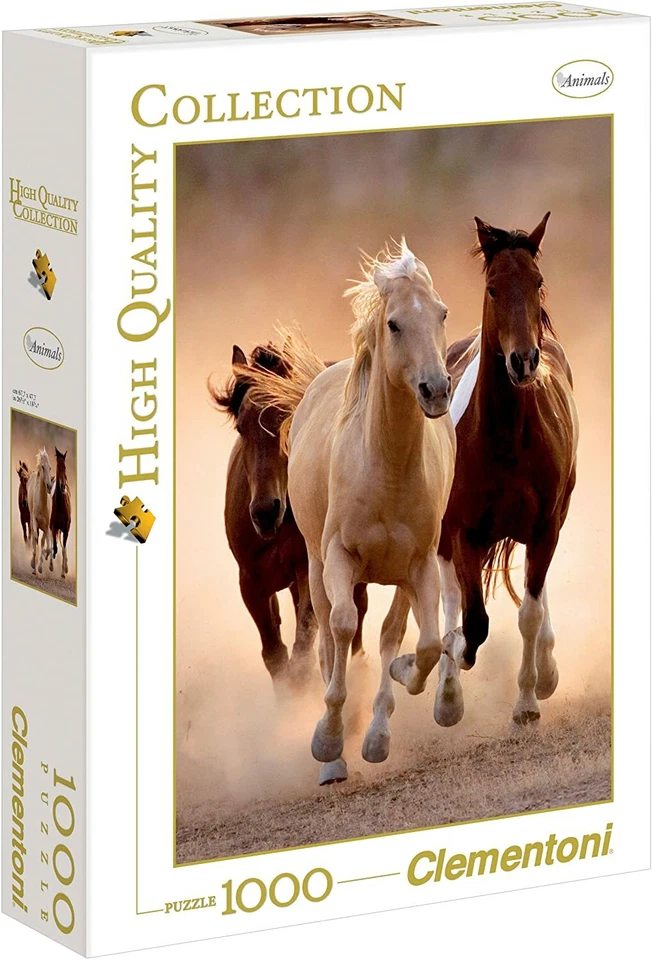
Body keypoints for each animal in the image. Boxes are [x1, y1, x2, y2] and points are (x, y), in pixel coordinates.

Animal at [211, 341, 368, 689]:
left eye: (289, 419)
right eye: (241, 427)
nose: (265, 512)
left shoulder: (307, 569)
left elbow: (302, 650)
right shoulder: (251, 581)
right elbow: (275, 655)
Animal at [247, 242, 455, 784]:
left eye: (442, 313)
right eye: (395, 324)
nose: (436, 390)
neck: (386, 467)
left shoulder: (420, 565)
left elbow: (422, 643)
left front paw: (390, 710)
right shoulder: (338, 559)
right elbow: (341, 629)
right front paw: (328, 740)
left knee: (390, 634)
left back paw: (378, 730)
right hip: (316, 568)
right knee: (327, 636)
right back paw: (334, 754)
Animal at [392, 213, 578, 728]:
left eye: (537, 282)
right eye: (493, 288)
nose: (524, 360)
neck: (506, 438)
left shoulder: (545, 527)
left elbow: (528, 613)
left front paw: (528, 702)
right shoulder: (462, 532)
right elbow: (472, 622)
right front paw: (446, 671)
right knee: (454, 600)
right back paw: (446, 691)